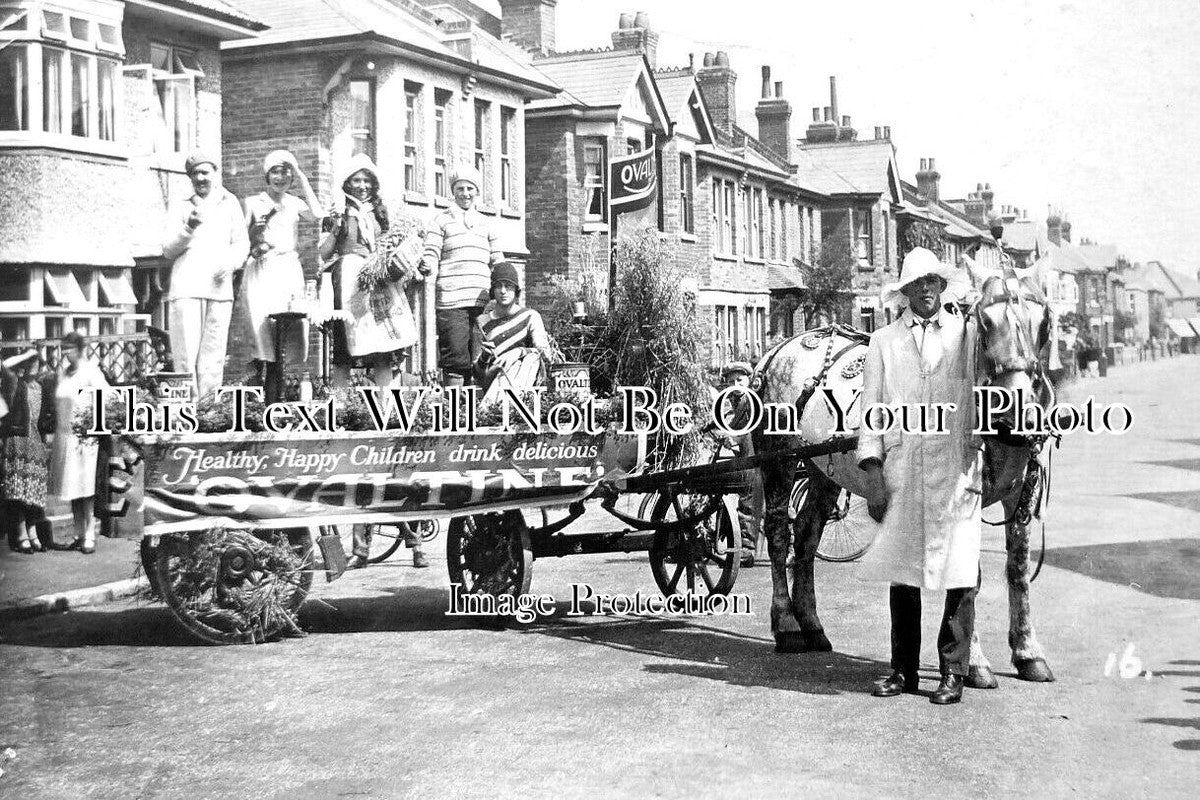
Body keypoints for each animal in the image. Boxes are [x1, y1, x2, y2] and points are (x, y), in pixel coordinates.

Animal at [753, 257, 1056, 690]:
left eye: (1044, 322)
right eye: (984, 321)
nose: (1017, 411)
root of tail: (778, 350)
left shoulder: (1022, 490)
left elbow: (1017, 568)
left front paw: (1029, 653)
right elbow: (970, 574)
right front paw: (975, 665)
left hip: (823, 472)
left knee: (807, 535)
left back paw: (811, 624)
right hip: (777, 460)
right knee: (779, 534)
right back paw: (787, 625)